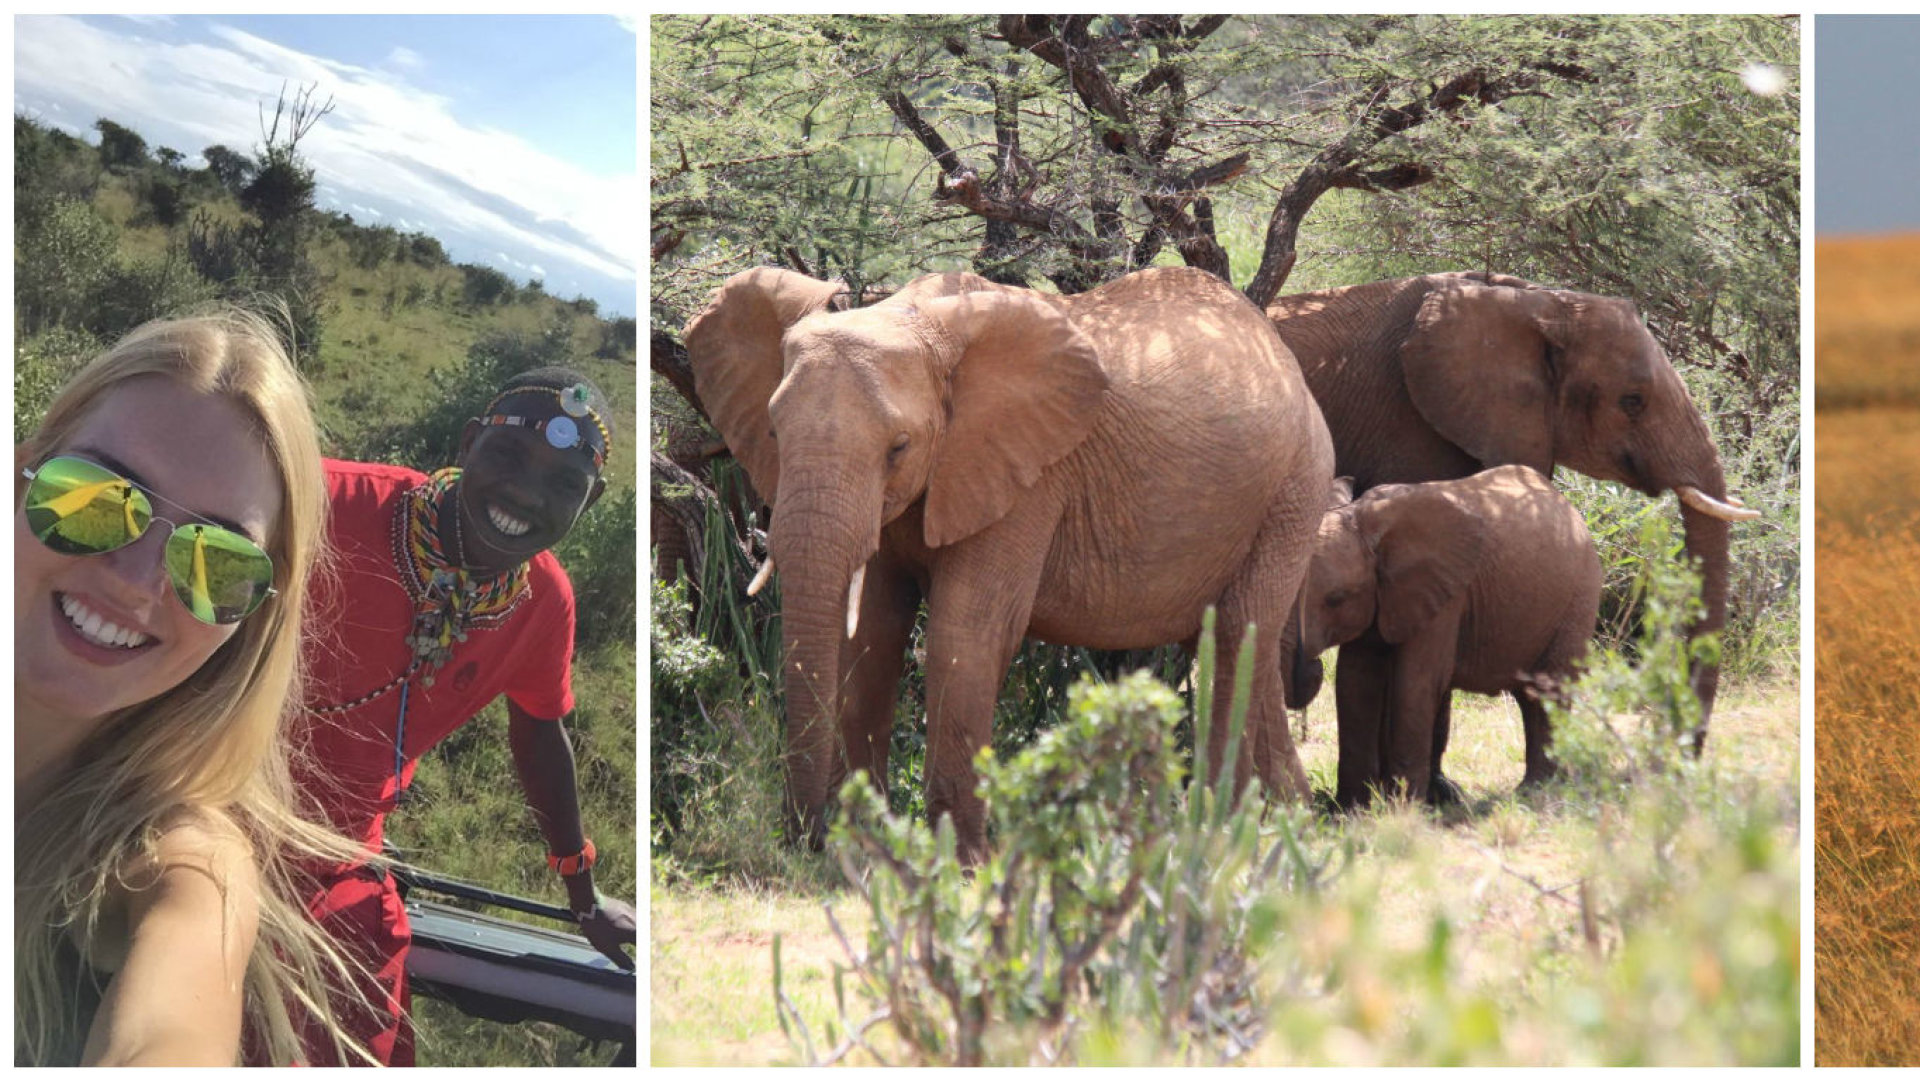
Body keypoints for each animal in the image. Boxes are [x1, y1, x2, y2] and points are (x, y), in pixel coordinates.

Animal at [691, 265, 1336, 860]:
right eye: (774, 434)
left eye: (899, 448)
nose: (804, 841)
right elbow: (872, 634)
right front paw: (865, 852)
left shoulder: (1028, 480)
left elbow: (966, 633)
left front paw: (961, 861)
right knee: (1243, 644)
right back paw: (1290, 821)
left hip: (1294, 487)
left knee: (1235, 636)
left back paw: (1222, 833)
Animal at [1290, 465, 1605, 807]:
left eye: (1335, 599)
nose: (1312, 666)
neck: (1362, 518)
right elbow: (1354, 681)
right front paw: (1350, 810)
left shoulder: (1447, 599)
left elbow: (1415, 683)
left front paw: (1404, 809)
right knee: (1530, 695)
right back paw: (1532, 789)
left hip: (1579, 598)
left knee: (1549, 689)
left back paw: (1540, 790)